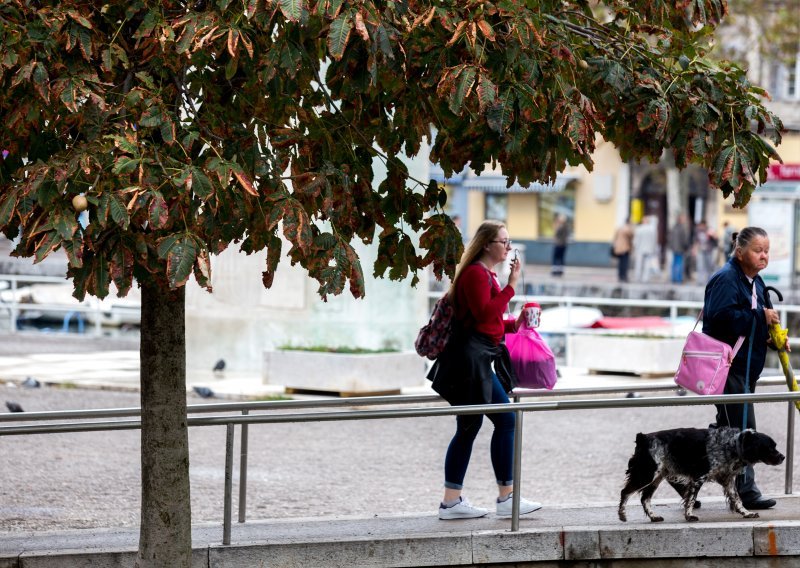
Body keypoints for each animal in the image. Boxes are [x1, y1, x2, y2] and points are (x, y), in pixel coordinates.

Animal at [620, 426, 780, 524]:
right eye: (770, 447)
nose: (783, 457)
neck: (732, 444)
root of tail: (643, 438)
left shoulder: (728, 480)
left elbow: (737, 499)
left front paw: (746, 513)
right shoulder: (698, 477)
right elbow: (691, 499)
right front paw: (689, 516)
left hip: (656, 477)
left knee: (644, 498)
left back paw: (654, 517)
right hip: (647, 474)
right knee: (625, 492)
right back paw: (622, 515)